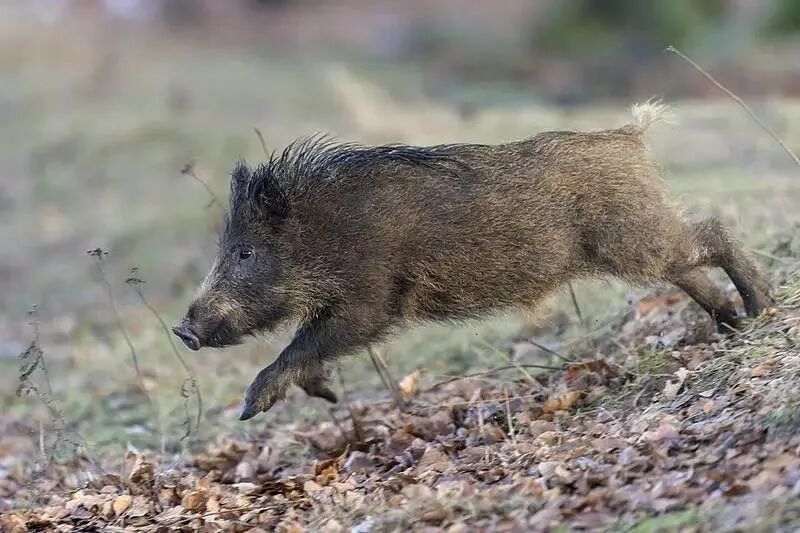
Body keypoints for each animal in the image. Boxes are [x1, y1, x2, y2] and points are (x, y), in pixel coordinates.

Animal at [172, 102, 771, 420]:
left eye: (245, 251)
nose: (183, 330)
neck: (326, 233)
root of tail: (630, 135)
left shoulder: (371, 301)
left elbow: (303, 344)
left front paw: (250, 408)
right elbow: (309, 348)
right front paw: (327, 395)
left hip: (635, 237)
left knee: (712, 232)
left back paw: (760, 308)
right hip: (639, 239)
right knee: (690, 268)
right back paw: (731, 324)